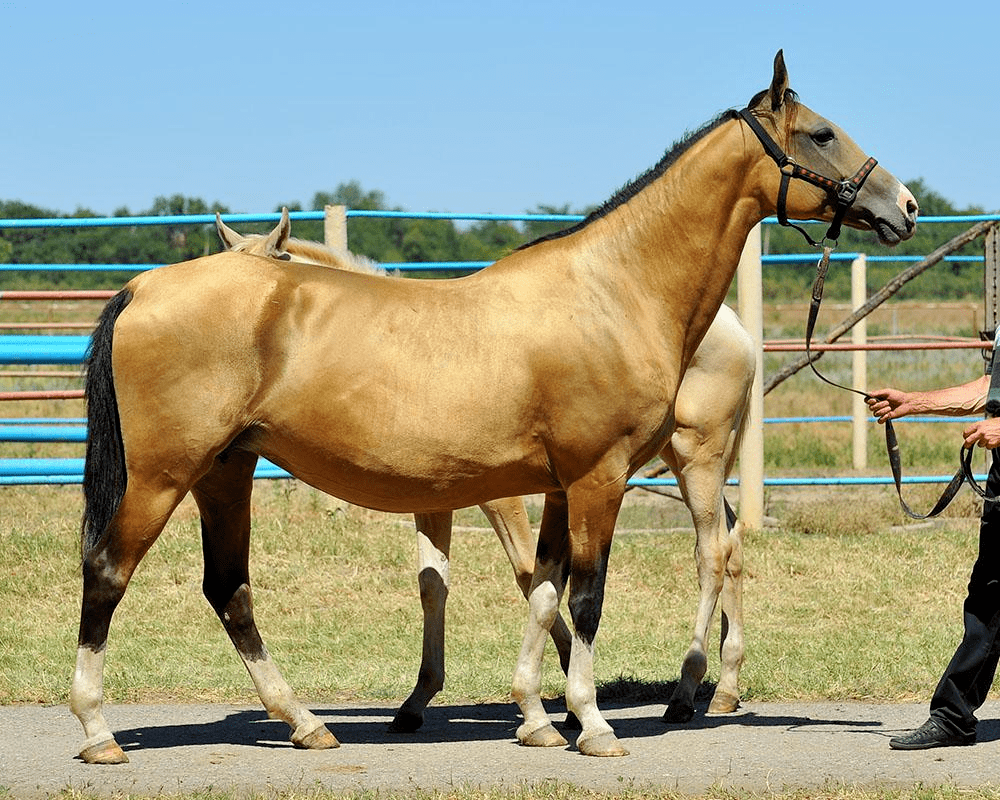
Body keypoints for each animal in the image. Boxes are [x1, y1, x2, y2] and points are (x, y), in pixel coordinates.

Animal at [217, 209, 752, 728]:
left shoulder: (502, 494)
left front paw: (558, 685)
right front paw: (419, 698)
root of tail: (737, 330)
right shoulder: (433, 496)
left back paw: (687, 691)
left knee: (712, 552)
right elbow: (433, 584)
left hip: (696, 458)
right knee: (731, 544)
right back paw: (725, 687)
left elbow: (526, 571)